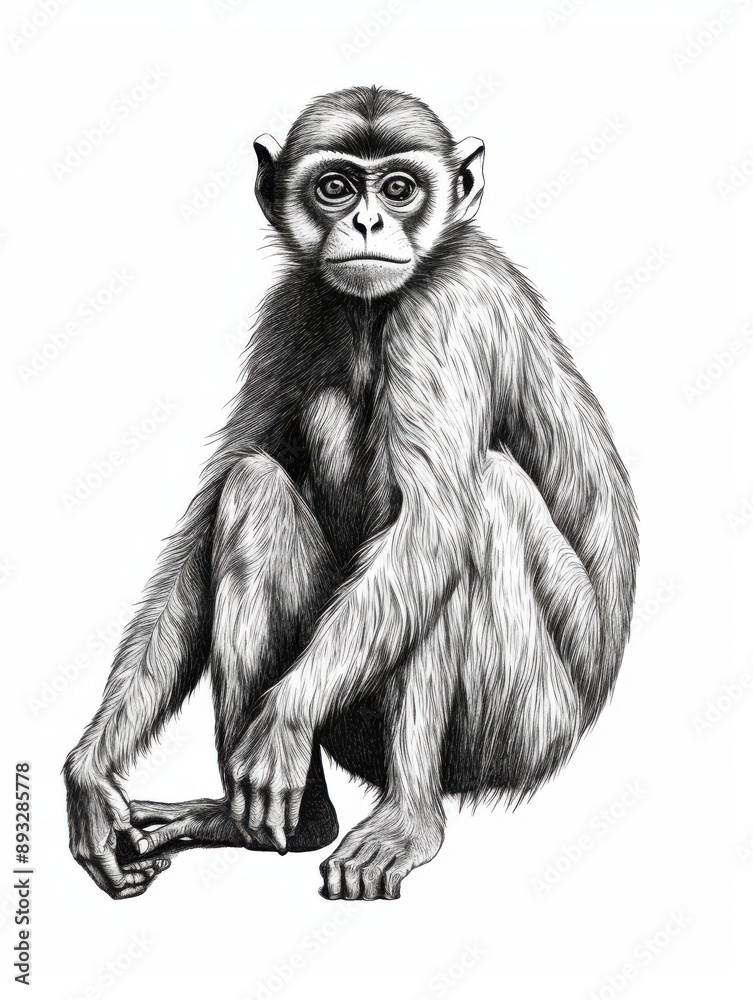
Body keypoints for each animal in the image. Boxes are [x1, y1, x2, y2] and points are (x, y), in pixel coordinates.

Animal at [64, 86, 638, 902]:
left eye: (398, 188)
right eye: (336, 187)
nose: (367, 222)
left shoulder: (451, 304)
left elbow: (432, 526)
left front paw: (281, 721)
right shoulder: (293, 306)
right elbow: (210, 513)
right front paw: (90, 769)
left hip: (533, 727)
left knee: (479, 501)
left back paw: (409, 817)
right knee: (255, 486)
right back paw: (279, 823)